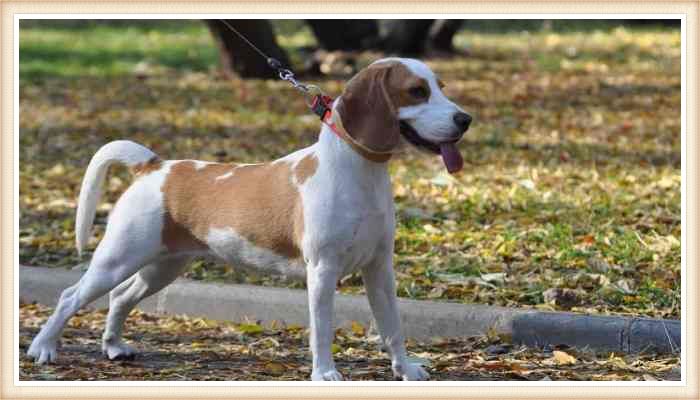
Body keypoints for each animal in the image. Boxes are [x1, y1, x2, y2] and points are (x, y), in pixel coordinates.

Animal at [30, 57, 474, 382]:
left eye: (441, 87)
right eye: (416, 91)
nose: (465, 119)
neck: (358, 171)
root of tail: (154, 166)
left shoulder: (380, 268)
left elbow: (393, 327)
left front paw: (406, 371)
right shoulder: (322, 271)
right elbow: (323, 329)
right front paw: (325, 375)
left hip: (162, 266)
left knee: (120, 297)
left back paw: (114, 347)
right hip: (117, 259)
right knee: (71, 296)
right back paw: (44, 348)